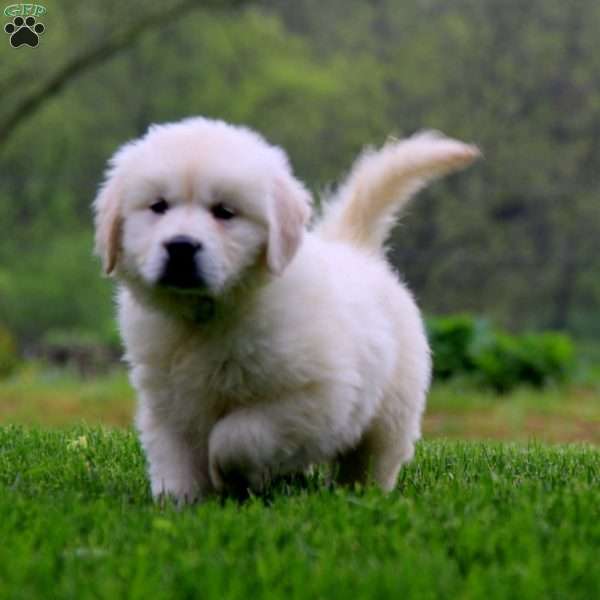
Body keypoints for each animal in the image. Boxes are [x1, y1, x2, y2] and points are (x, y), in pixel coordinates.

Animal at [92, 117, 478, 502]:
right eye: (158, 206)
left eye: (224, 212)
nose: (181, 247)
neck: (207, 315)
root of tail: (354, 248)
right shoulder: (168, 400)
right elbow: (175, 455)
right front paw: (182, 501)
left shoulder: (315, 396)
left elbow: (237, 436)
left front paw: (227, 476)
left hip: (391, 410)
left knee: (373, 459)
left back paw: (358, 492)